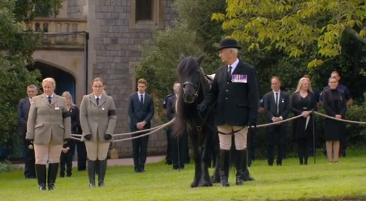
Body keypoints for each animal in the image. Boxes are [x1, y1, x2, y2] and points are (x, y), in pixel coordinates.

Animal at [172, 54, 219, 187]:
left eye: (197, 72)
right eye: (181, 72)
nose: (188, 94)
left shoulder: (210, 130)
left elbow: (205, 155)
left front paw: (205, 181)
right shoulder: (192, 131)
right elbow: (198, 155)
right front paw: (196, 180)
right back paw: (216, 177)